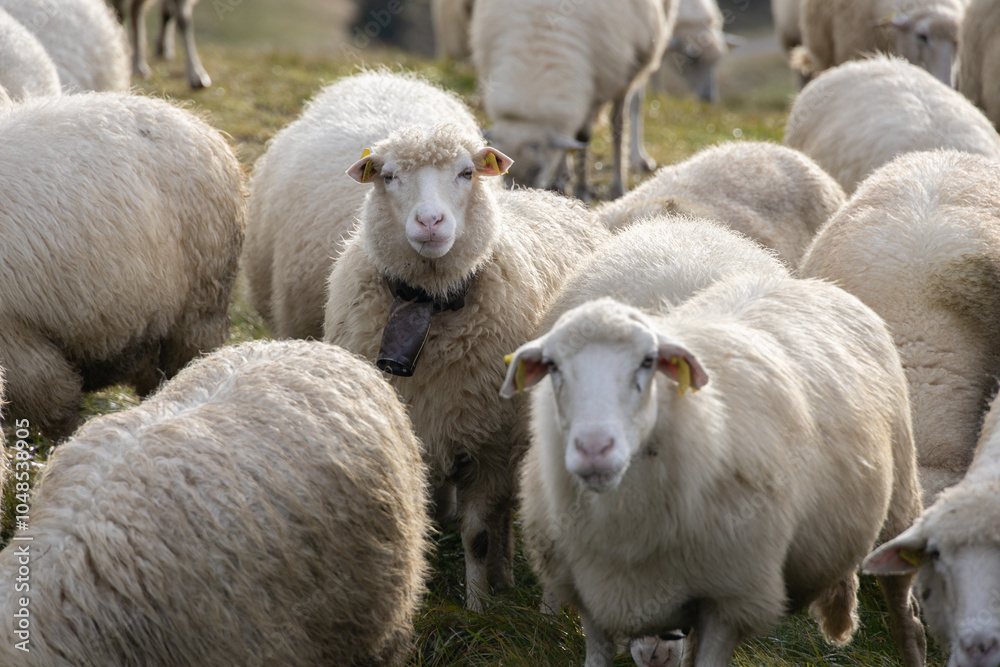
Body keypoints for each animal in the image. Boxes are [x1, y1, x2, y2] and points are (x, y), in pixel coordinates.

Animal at [323, 124, 609, 610]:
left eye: (466, 173)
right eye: (389, 176)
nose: (430, 222)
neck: (428, 304)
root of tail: (555, 197)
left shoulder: (489, 444)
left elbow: (476, 534)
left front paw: (478, 606)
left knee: (504, 514)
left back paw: (505, 577)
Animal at [471, 0, 675, 200]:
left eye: (537, 168)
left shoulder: (598, 88)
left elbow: (583, 137)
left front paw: (582, 189)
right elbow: (567, 140)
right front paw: (561, 181)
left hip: (629, 69)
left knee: (620, 120)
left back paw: (622, 180)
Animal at [501, 277, 926, 667]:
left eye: (648, 361)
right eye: (552, 366)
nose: (594, 449)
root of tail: (812, 283)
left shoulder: (730, 601)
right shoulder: (591, 598)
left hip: (900, 505)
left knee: (908, 621)